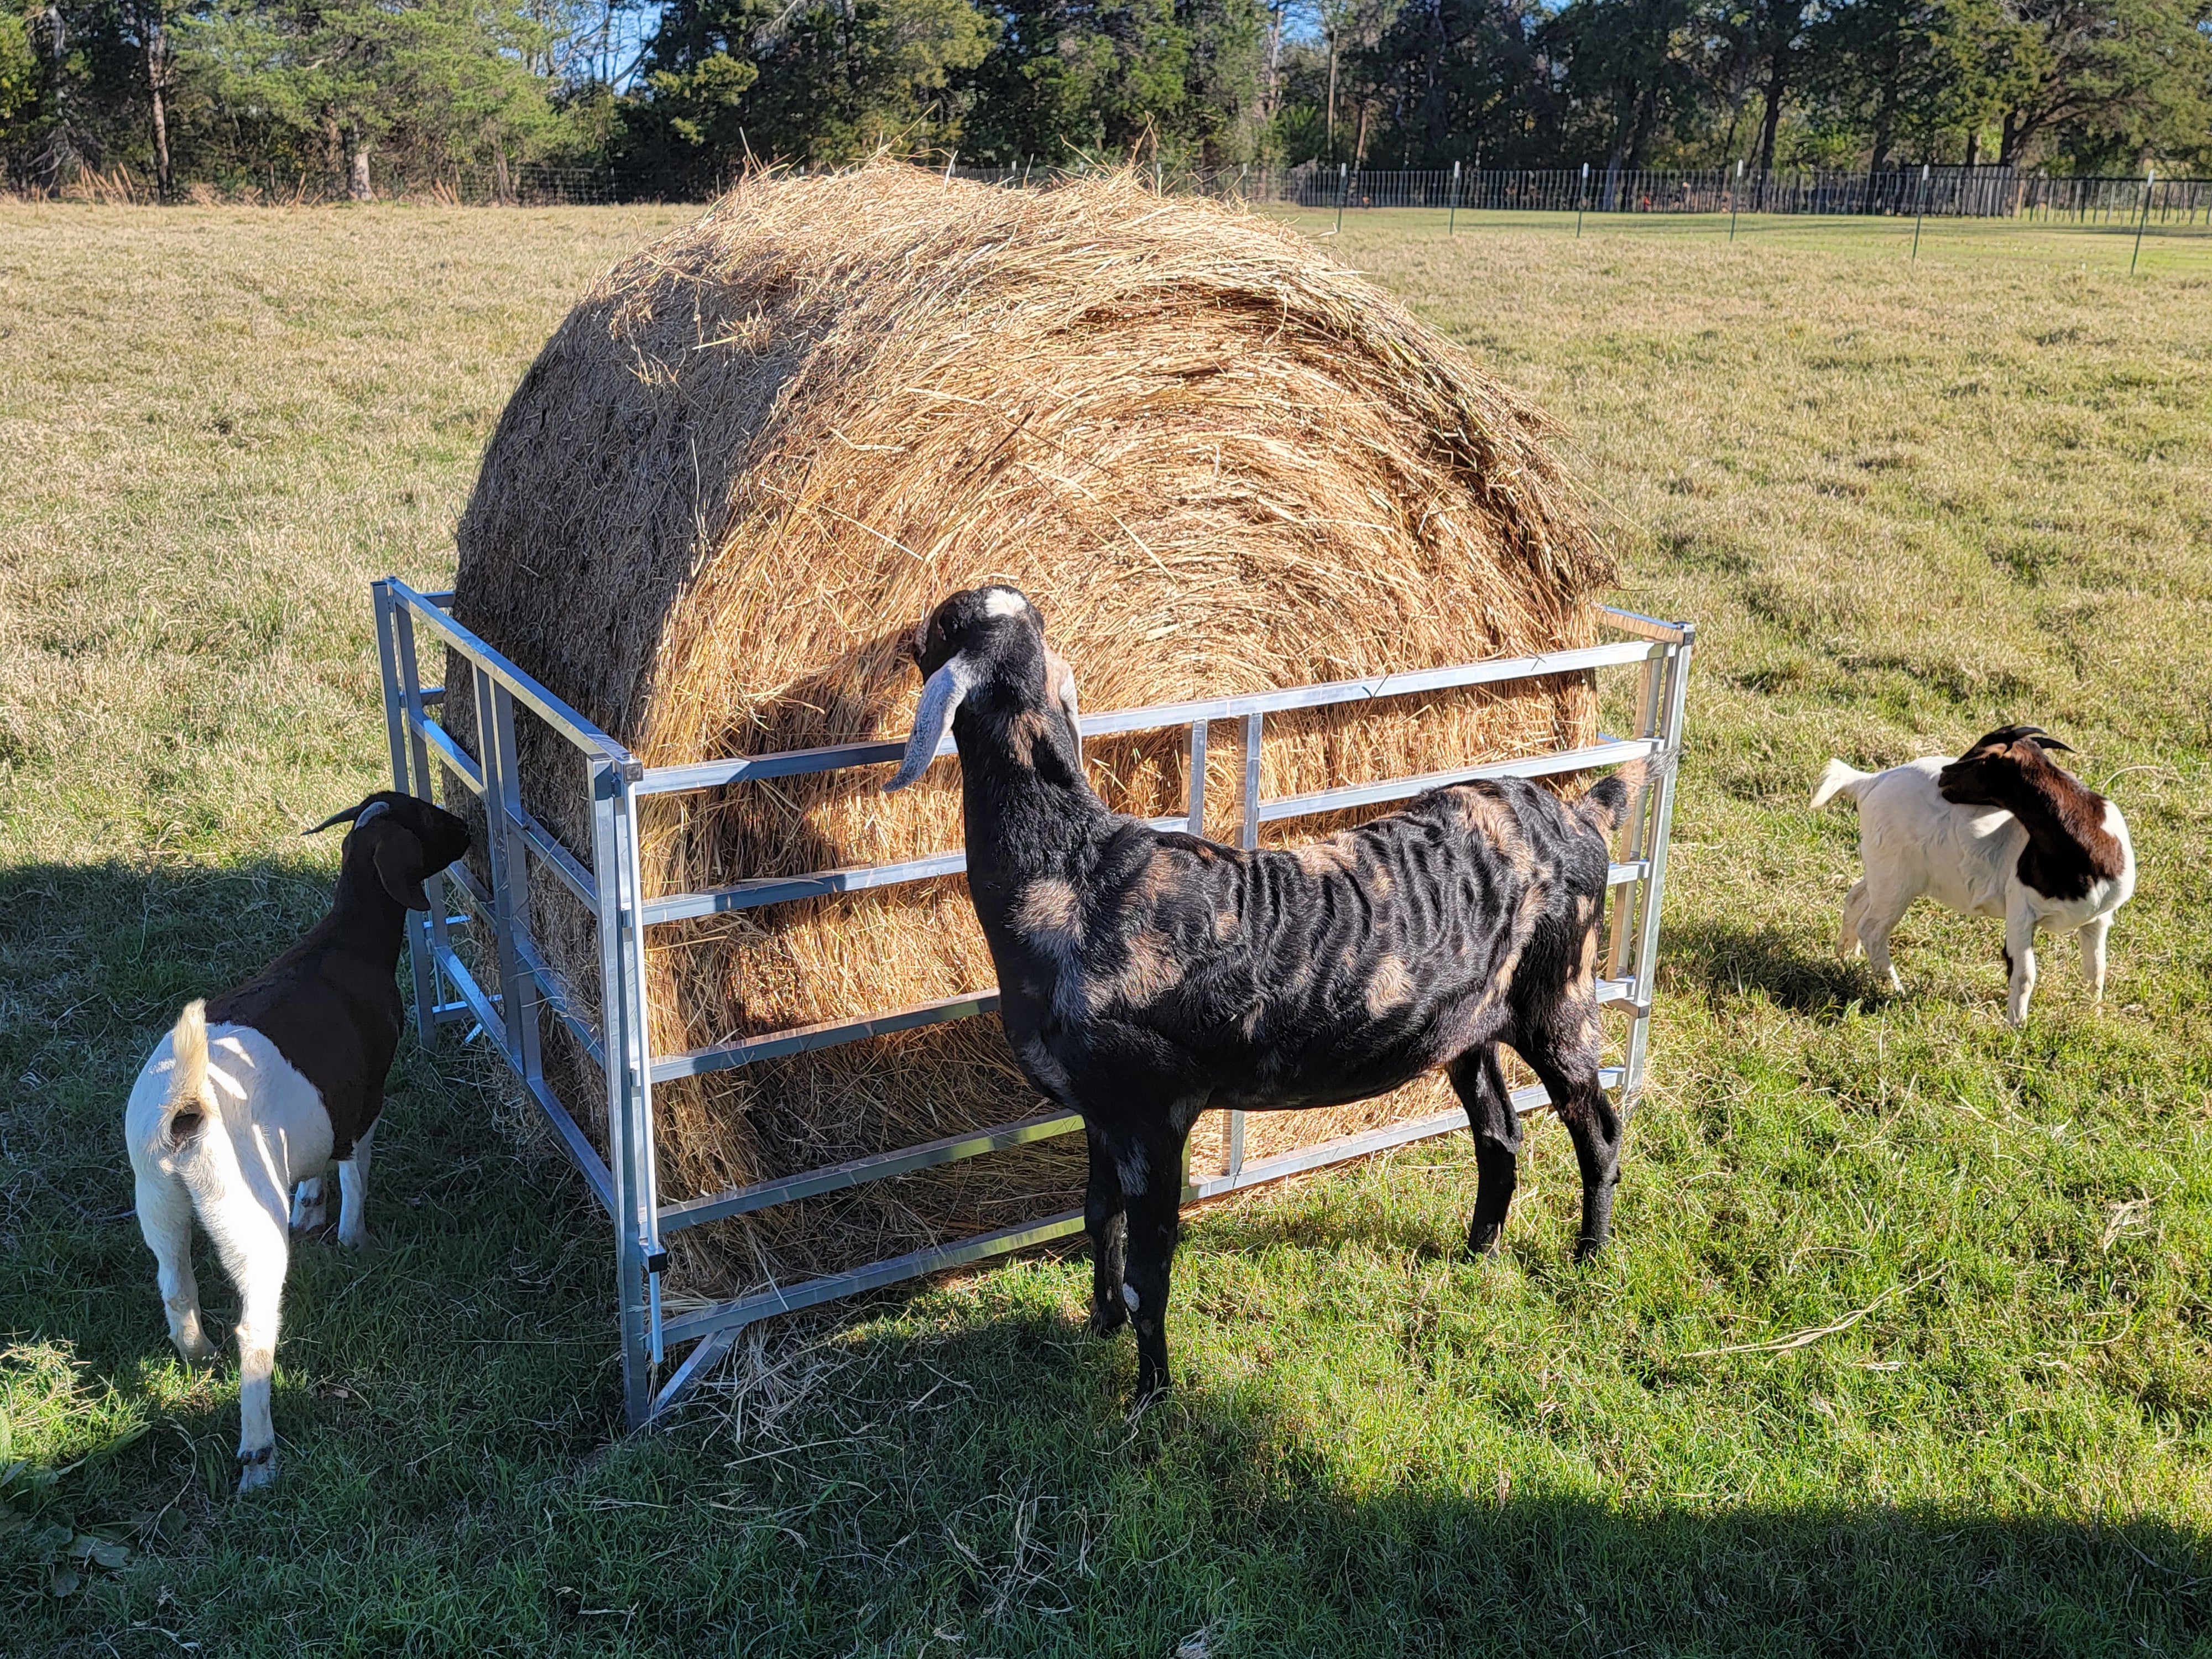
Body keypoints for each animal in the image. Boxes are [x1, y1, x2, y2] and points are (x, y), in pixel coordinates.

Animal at [123, 791, 470, 1491]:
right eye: (427, 818)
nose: (470, 829)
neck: (344, 942)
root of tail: (183, 1115)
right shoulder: (364, 1108)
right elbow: (355, 1178)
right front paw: (356, 1243)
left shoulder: (323, 1113)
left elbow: (316, 1171)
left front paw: (310, 1208)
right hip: (249, 1227)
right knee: (253, 1334)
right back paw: (260, 1456)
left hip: (160, 1204)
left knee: (176, 1288)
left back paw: (199, 1359)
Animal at [885, 585, 1641, 1399]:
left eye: (946, 622)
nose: (904, 636)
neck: (1071, 871)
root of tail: (1581, 811)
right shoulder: (1100, 1109)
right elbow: (1097, 1219)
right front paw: (1098, 1329)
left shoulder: (1154, 1110)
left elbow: (1150, 1270)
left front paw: (1150, 1394)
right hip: (1468, 1026)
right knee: (1499, 1132)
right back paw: (1479, 1250)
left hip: (1562, 995)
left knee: (1598, 1130)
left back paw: (1589, 1255)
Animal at [1811, 724, 2135, 1025]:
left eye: (1976, 759)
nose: (1943, 777)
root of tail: (1870, 782)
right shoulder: (2021, 909)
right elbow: (2025, 973)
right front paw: (2017, 1026)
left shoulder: (2098, 918)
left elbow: (2096, 971)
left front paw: (2092, 1015)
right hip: (1896, 879)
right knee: (1873, 929)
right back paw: (1895, 990)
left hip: (1886, 869)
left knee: (1856, 898)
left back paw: (1846, 957)